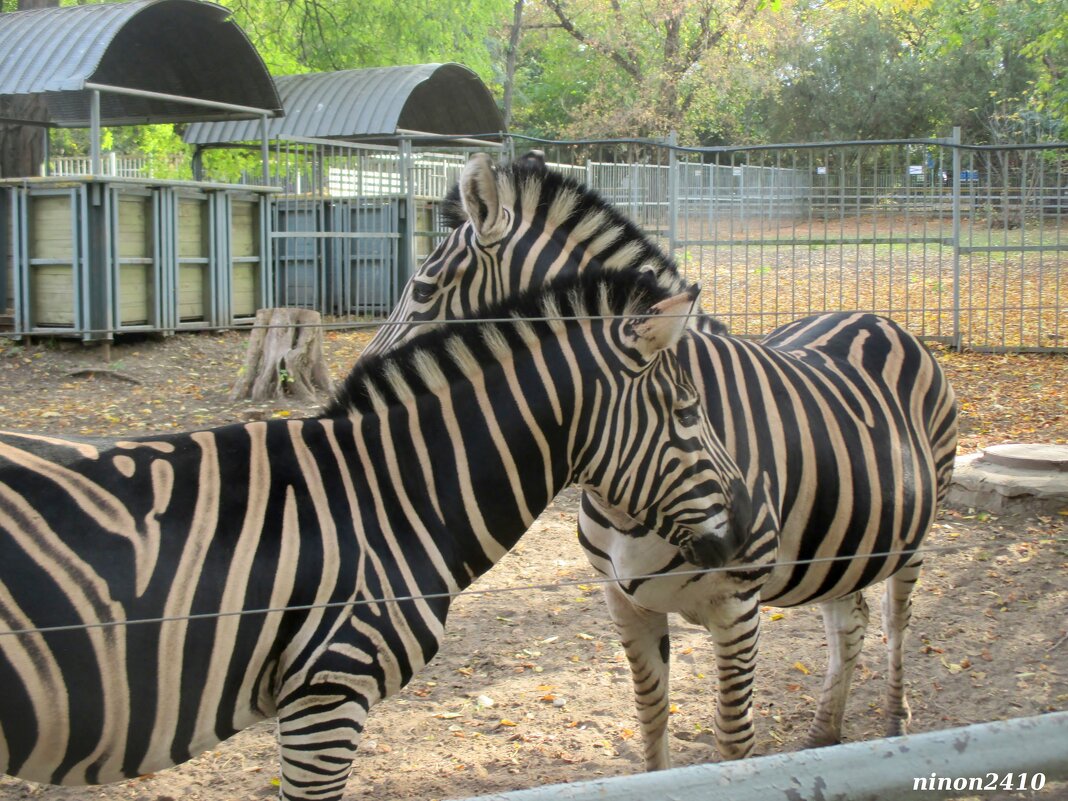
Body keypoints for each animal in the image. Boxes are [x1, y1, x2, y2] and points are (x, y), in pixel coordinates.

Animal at [365, 151, 961, 773]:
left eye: (424, 287)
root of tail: (872, 315)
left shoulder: (737, 607)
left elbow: (733, 741)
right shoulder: (625, 602)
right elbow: (651, 722)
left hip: (918, 534)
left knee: (894, 621)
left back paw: (895, 722)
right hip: (847, 546)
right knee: (851, 622)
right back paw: (824, 735)